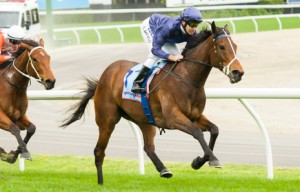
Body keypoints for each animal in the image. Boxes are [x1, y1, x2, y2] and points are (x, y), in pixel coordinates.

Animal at [61, 21, 244, 185]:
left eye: (235, 46)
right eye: (221, 46)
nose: (238, 72)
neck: (186, 79)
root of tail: (104, 76)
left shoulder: (195, 116)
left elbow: (214, 130)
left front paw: (199, 161)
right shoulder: (173, 118)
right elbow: (197, 132)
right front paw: (211, 159)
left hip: (144, 120)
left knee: (148, 147)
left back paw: (164, 169)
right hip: (107, 121)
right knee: (99, 151)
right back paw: (100, 183)